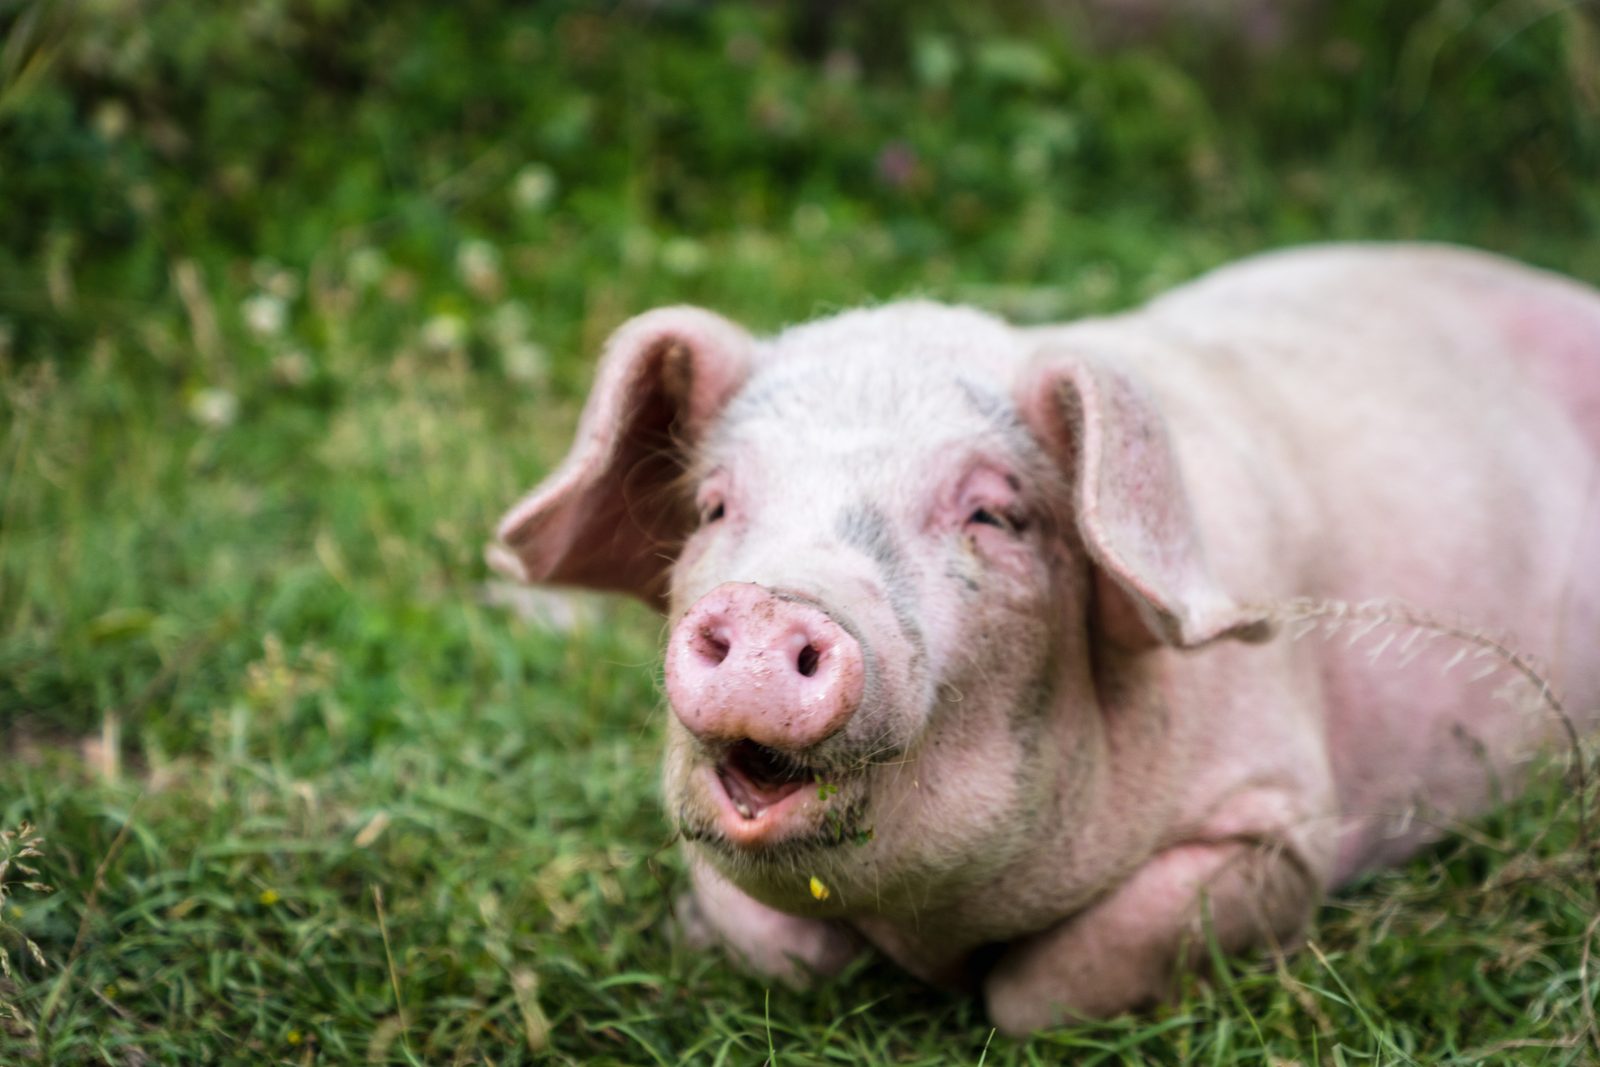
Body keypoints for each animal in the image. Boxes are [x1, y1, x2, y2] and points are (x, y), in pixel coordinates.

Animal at [491, 243, 1600, 1034]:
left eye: (993, 514)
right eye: (715, 505)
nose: (772, 605)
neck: (931, 927)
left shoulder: (1280, 827)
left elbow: (1035, 994)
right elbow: (785, 947)